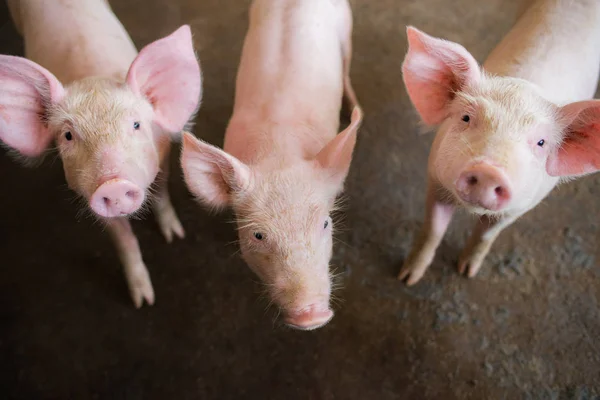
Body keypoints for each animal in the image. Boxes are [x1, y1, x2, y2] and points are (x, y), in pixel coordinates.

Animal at [0, 0, 202, 306]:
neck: (91, 79)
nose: (113, 184)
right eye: (68, 136)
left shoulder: (163, 154)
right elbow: (123, 240)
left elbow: (161, 192)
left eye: (136, 124)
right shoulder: (89, 195)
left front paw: (174, 235)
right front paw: (143, 300)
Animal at [396, 0, 600, 286]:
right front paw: (407, 278)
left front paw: (467, 272)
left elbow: (486, 236)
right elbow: (432, 231)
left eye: (541, 142)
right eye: (466, 117)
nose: (488, 171)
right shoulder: (435, 179)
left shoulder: (521, 207)